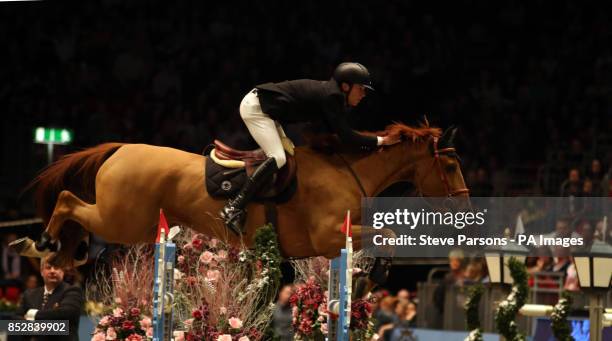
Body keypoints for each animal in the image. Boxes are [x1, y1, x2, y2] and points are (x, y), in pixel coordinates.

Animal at [10, 123, 468, 266]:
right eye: (449, 166)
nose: (464, 204)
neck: (348, 171)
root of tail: (121, 148)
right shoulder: (328, 236)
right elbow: (387, 235)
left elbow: (385, 236)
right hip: (124, 220)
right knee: (67, 200)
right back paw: (43, 245)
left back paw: (59, 255)